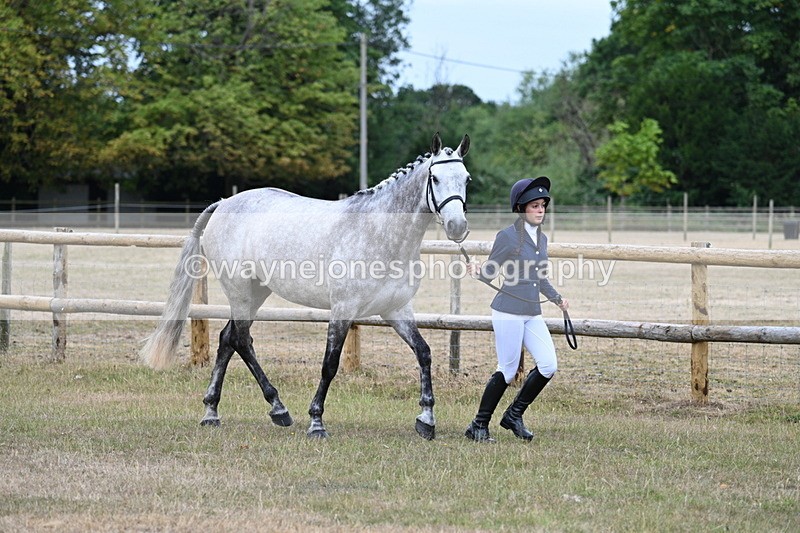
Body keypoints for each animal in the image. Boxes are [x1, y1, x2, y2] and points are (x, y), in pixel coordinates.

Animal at [140, 132, 471, 439]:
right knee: (241, 340)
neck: (379, 233)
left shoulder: (397, 310)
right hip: (240, 291)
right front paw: (316, 422)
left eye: (466, 178)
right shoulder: (343, 310)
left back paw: (214, 411)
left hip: (256, 292)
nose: (457, 226)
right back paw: (277, 409)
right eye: (435, 178)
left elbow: (424, 353)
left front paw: (426, 420)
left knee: (227, 339)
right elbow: (330, 364)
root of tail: (223, 204)